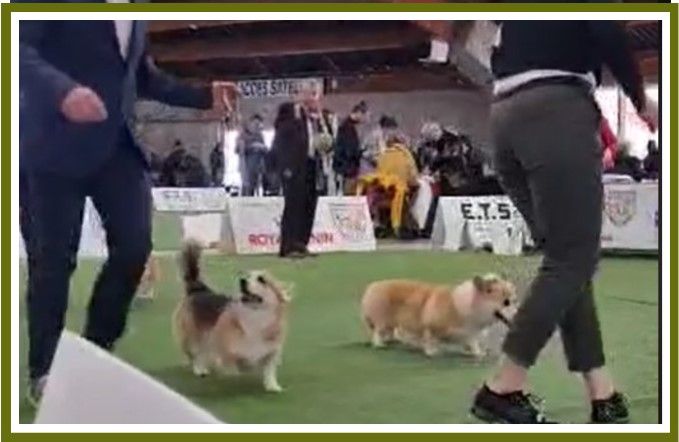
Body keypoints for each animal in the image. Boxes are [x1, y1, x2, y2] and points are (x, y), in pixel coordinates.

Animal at [172, 240, 290, 392]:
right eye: (246, 276)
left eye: (262, 279)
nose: (242, 281)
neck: (255, 316)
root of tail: (198, 289)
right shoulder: (229, 349)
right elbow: (236, 361)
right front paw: (232, 369)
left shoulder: (271, 351)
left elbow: (269, 370)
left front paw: (272, 386)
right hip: (192, 336)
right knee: (196, 354)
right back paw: (200, 369)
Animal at [360, 274, 517, 358]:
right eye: (506, 303)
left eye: (514, 300)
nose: (517, 314)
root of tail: (372, 286)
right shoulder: (430, 327)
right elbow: (430, 339)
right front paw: (431, 352)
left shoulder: (470, 333)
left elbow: (472, 343)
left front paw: (476, 353)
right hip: (382, 320)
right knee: (377, 332)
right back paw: (379, 344)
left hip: (391, 323)